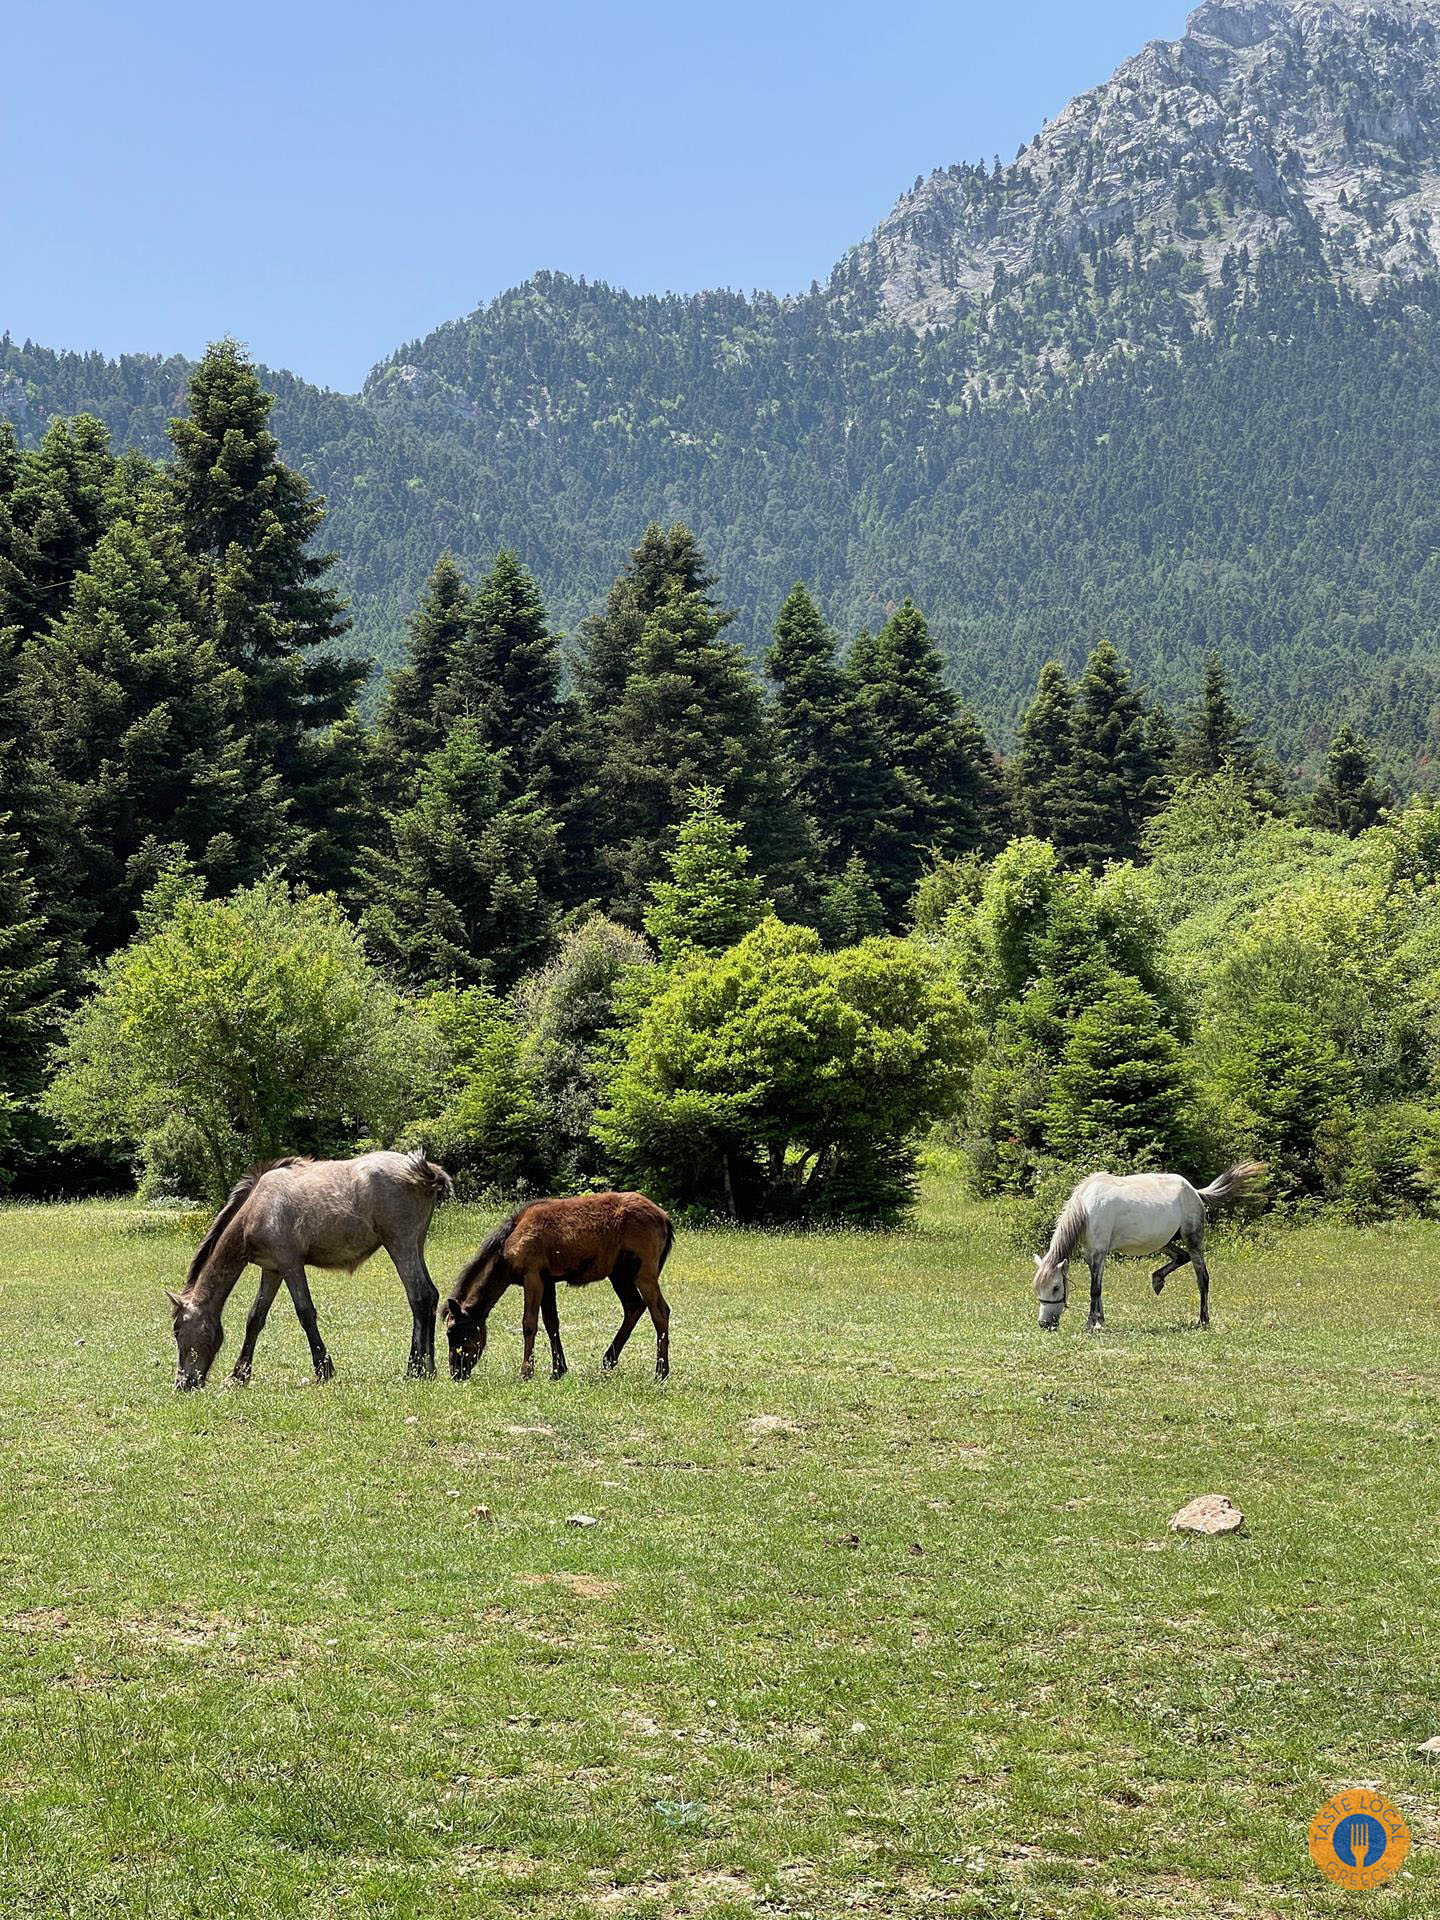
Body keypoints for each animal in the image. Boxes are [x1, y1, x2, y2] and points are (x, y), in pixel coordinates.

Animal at [445, 1182, 675, 1382]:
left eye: (453, 1332)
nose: (456, 1372)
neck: (506, 1254)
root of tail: (664, 1218)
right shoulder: (547, 1280)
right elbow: (551, 1323)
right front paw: (558, 1370)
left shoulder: (532, 1276)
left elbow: (529, 1323)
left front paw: (526, 1372)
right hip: (620, 1274)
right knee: (634, 1306)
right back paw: (609, 1360)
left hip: (643, 1271)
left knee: (660, 1311)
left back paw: (661, 1372)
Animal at [1029, 1159, 1267, 1328]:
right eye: (1038, 1288)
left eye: (1056, 1287)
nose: (1044, 1324)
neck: (1087, 1209)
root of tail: (1195, 1191)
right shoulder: (1091, 1254)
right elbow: (1098, 1287)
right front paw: (1100, 1320)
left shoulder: (1098, 1252)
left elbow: (1094, 1289)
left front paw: (1092, 1323)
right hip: (1165, 1242)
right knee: (1181, 1257)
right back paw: (1157, 1280)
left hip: (1193, 1241)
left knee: (1202, 1278)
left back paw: (1203, 1320)